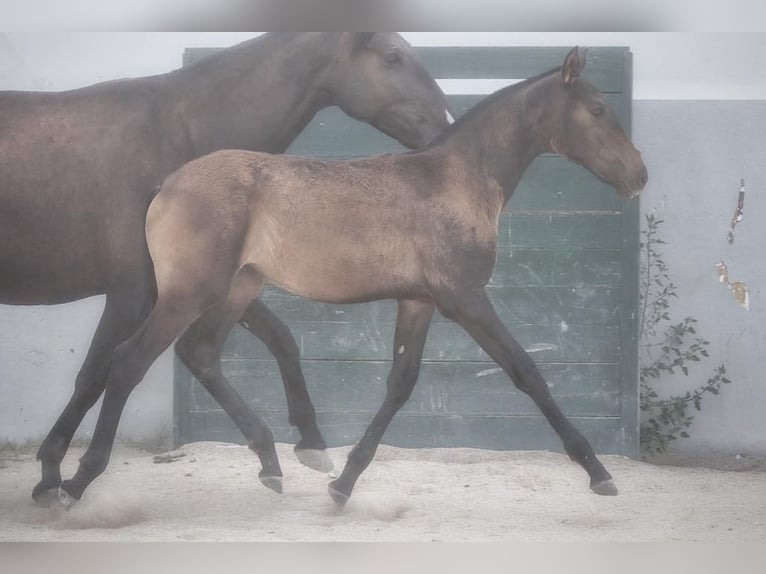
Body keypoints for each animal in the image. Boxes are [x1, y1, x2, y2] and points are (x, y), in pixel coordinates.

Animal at [0, 33, 452, 506]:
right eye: (393, 56)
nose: (447, 123)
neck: (179, 129)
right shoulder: (134, 294)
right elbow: (93, 376)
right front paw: (52, 473)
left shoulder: (212, 282)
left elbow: (274, 340)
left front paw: (305, 444)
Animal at [54, 47, 644, 506]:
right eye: (597, 109)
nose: (639, 174)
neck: (458, 177)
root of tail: (167, 186)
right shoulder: (464, 298)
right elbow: (527, 371)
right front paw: (599, 473)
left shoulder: (418, 301)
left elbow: (401, 384)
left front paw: (343, 484)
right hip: (189, 292)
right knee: (128, 360)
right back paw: (75, 481)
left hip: (238, 287)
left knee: (198, 353)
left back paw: (273, 464)